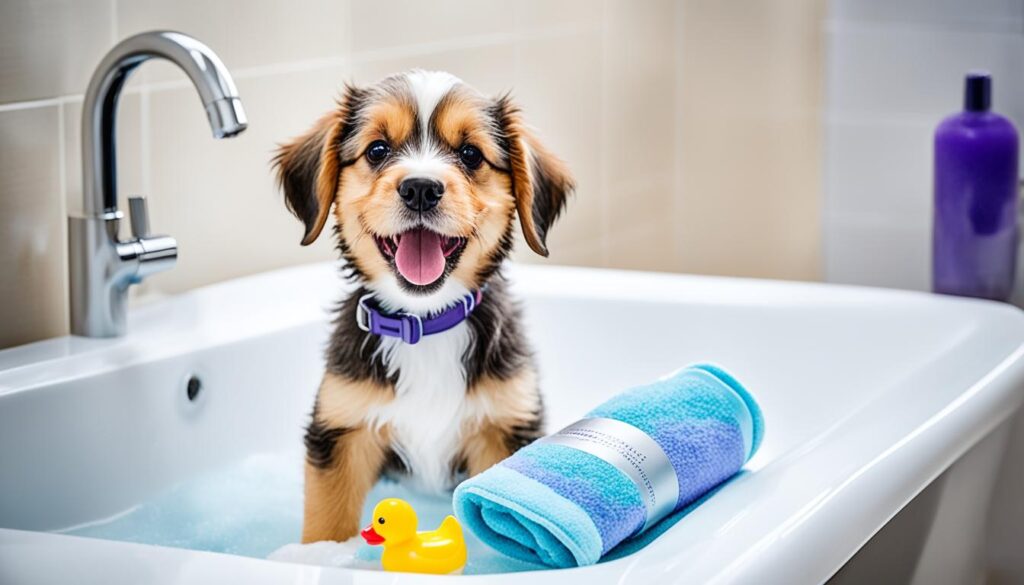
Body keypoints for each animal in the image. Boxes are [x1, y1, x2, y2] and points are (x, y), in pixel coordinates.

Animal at [272, 69, 573, 545]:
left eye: (470, 154)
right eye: (378, 150)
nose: (420, 188)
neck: (426, 325)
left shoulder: (505, 426)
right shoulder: (341, 429)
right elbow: (327, 523)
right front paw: (318, 555)